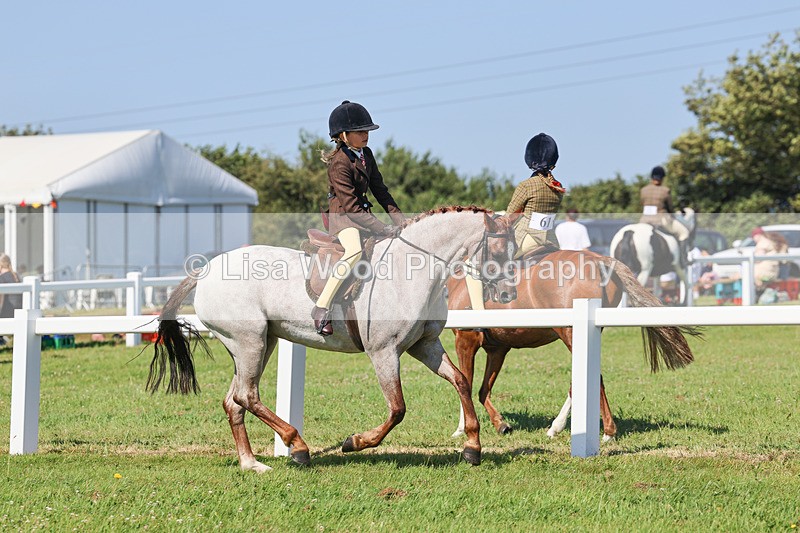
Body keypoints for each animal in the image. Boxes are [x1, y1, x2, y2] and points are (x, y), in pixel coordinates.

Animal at [145, 206, 517, 472]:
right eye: (498, 250)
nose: (508, 295)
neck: (411, 271)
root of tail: (205, 270)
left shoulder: (424, 346)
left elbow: (461, 381)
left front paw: (472, 447)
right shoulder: (384, 352)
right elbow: (397, 409)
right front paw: (355, 442)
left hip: (261, 343)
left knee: (234, 400)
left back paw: (252, 464)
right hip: (249, 342)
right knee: (247, 396)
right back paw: (297, 447)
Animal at [447, 249, 700, 441]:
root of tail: (599, 260)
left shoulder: (465, 341)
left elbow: (464, 383)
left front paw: (461, 428)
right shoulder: (497, 349)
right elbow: (482, 390)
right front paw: (501, 424)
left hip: (569, 333)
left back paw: (605, 431)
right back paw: (559, 427)